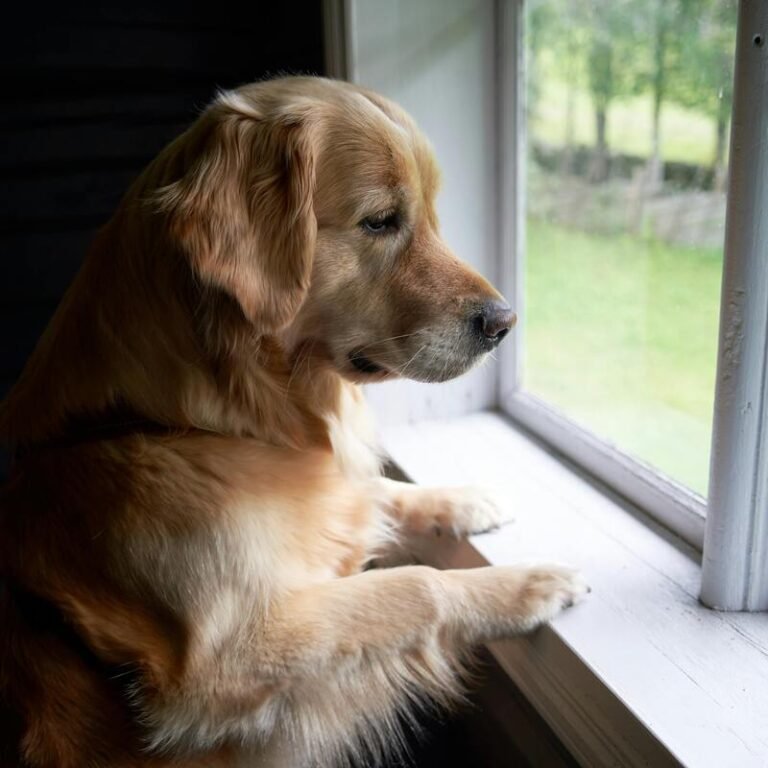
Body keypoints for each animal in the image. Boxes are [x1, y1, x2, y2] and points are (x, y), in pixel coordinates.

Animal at [1, 78, 588, 768]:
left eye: (431, 214)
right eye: (380, 220)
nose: (504, 322)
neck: (188, 423)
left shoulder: (328, 501)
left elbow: (377, 493)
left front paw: (465, 501)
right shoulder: (231, 655)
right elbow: (417, 587)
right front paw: (525, 584)